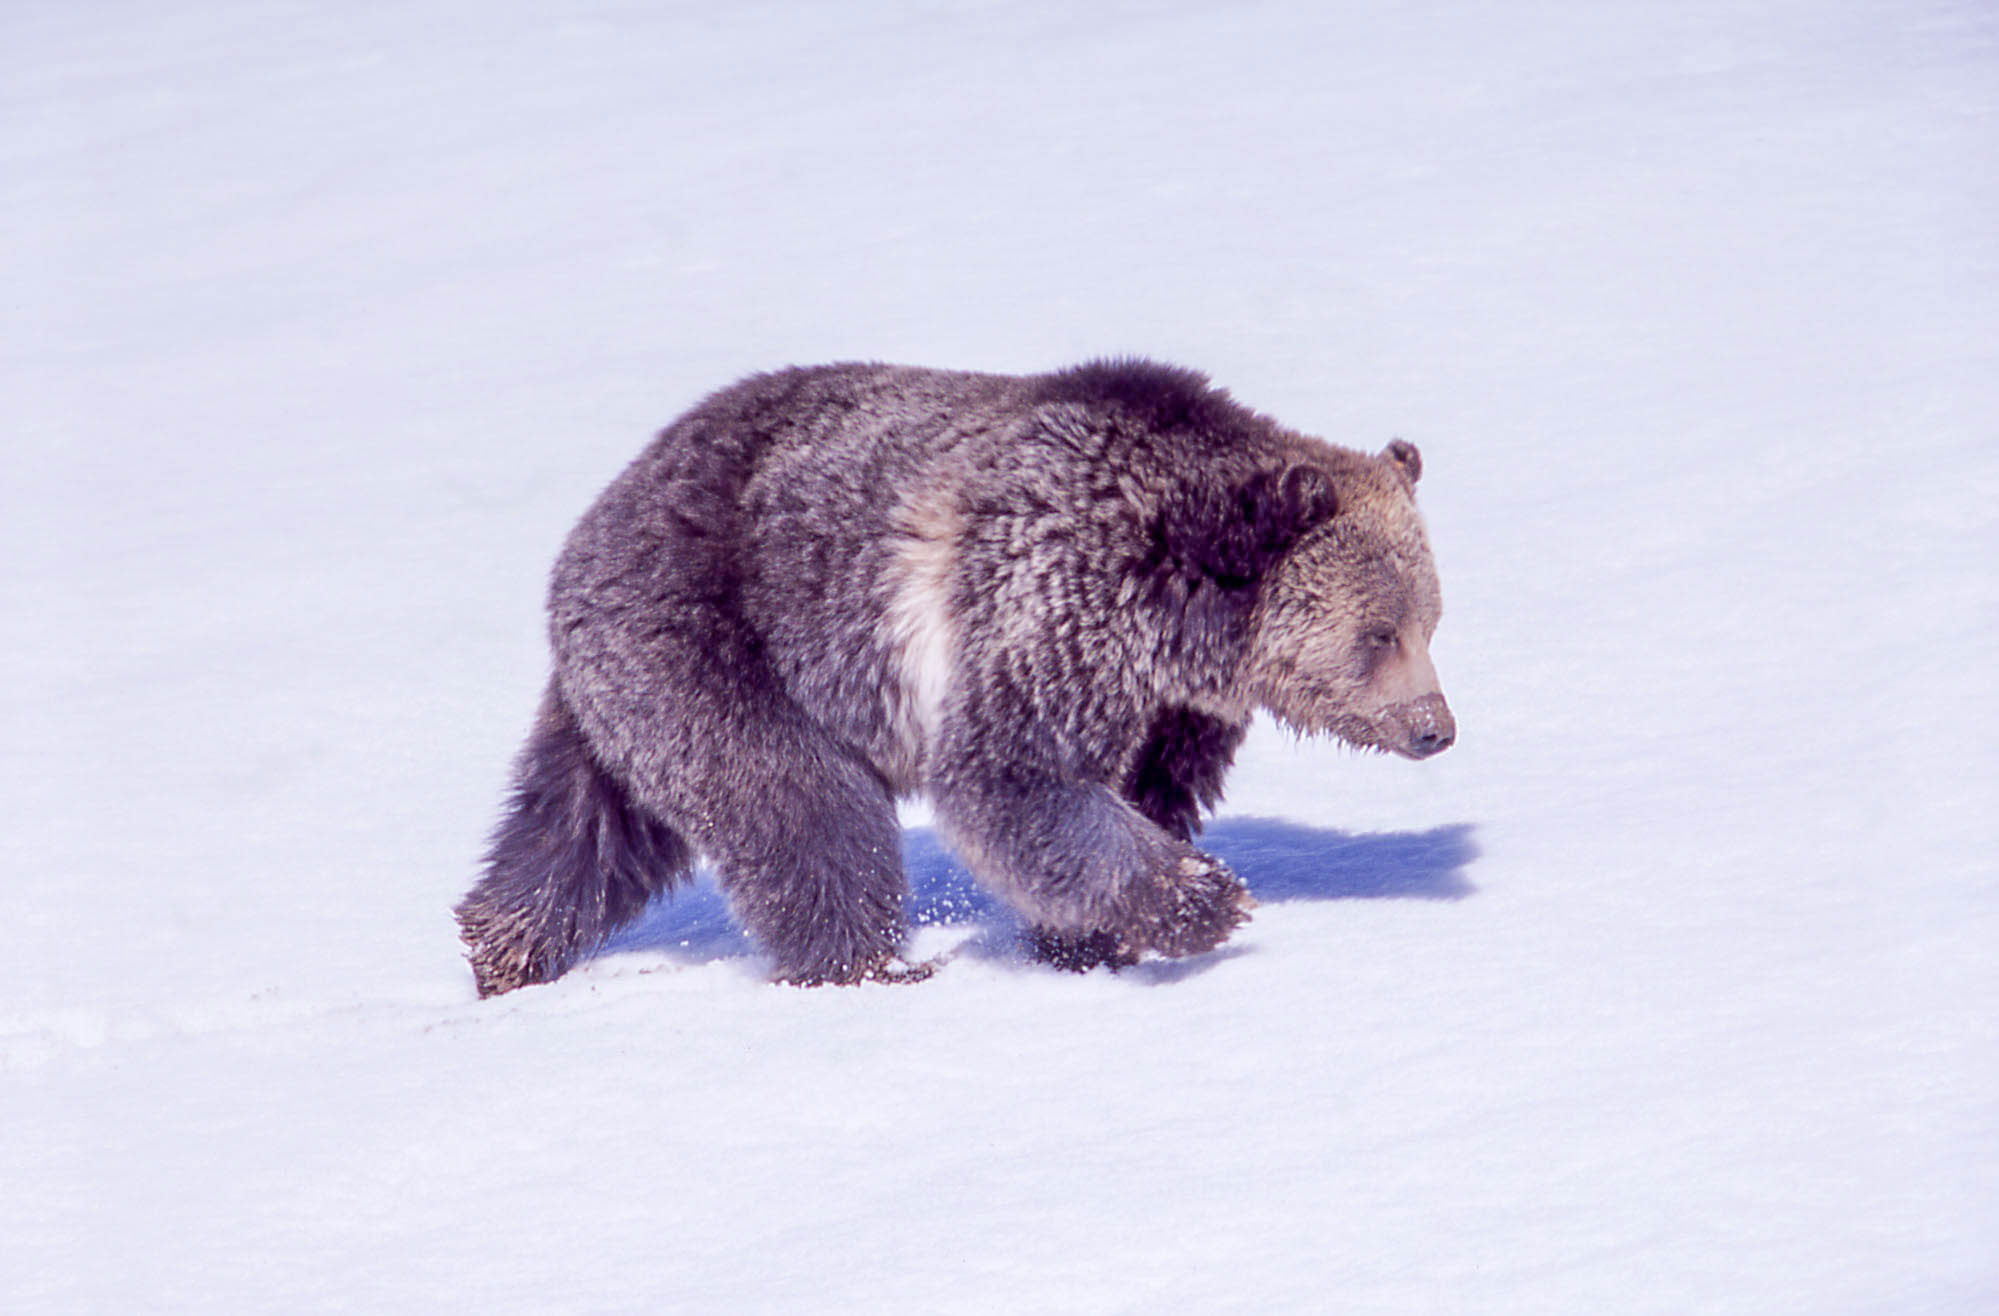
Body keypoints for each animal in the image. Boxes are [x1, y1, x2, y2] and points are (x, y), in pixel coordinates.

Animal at [456, 359, 1453, 994]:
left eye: (1432, 619)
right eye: (1378, 633)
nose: (1434, 727)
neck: (1178, 613)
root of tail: (596, 517)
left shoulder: (1171, 709)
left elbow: (1139, 790)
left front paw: (1090, 941)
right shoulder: (1048, 604)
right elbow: (1014, 781)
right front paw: (1200, 900)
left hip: (622, 686)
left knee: (581, 829)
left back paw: (502, 949)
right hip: (721, 637)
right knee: (803, 812)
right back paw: (872, 965)